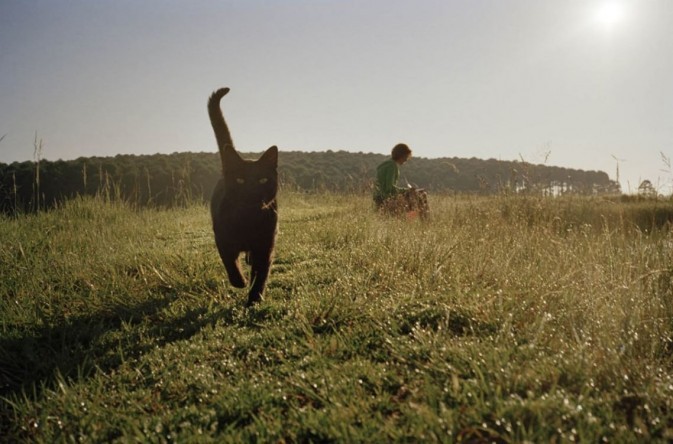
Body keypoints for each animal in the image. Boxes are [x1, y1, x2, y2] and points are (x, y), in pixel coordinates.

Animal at [206, 88, 276, 306]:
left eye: (262, 180)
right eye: (240, 180)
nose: (252, 191)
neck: (247, 221)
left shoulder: (265, 246)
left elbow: (260, 275)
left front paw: (254, 300)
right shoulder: (222, 238)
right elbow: (230, 262)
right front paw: (240, 281)